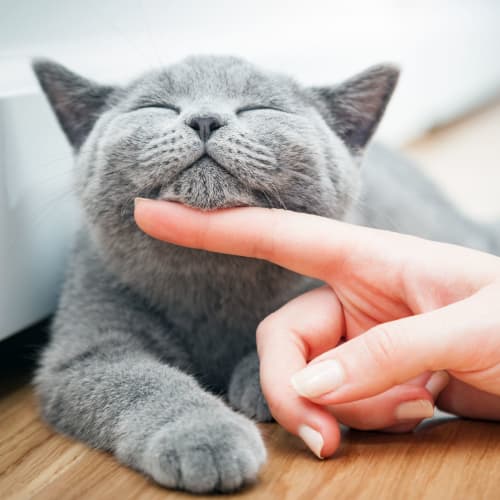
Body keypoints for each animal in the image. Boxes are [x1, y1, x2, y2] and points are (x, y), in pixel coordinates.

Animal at [33, 54, 498, 492]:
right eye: (156, 106)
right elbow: (141, 381)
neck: (212, 279)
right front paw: (204, 436)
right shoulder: (87, 345)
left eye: (259, 108)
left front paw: (260, 381)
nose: (205, 119)